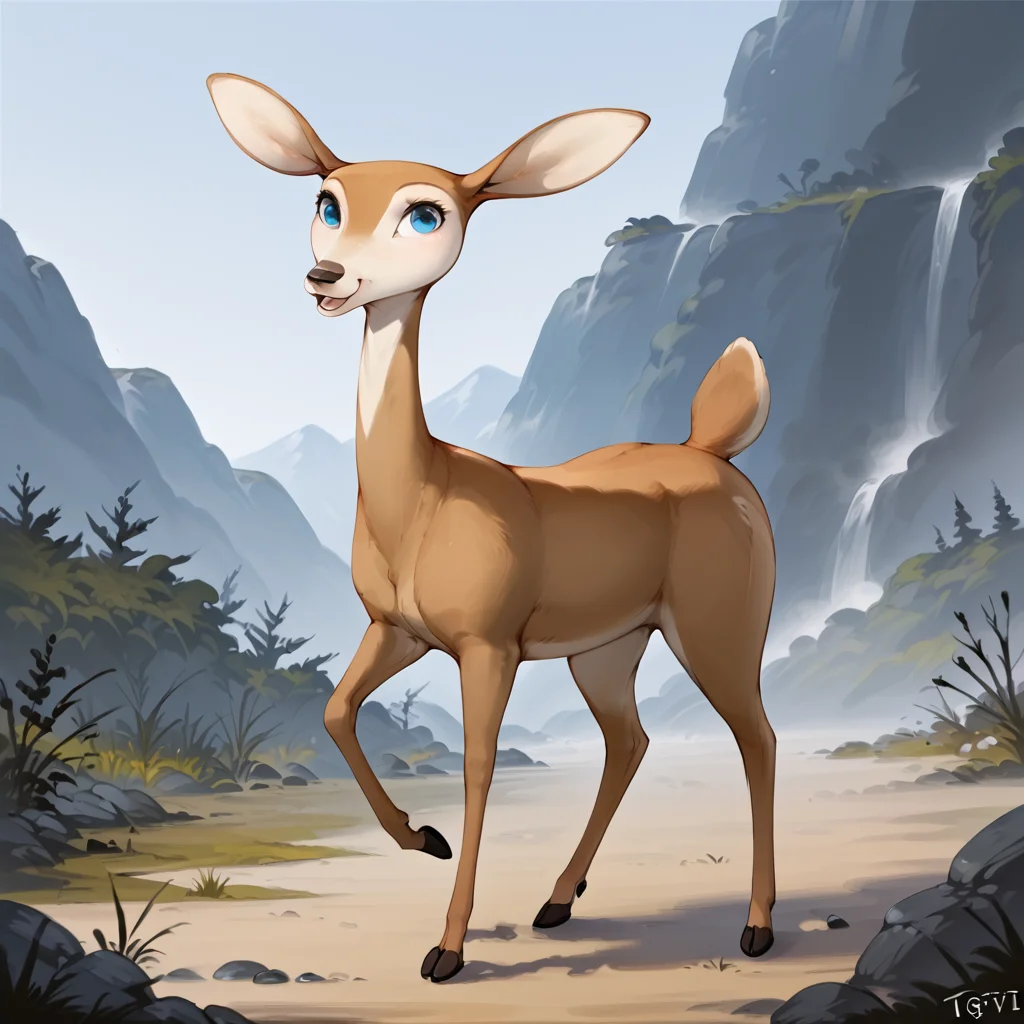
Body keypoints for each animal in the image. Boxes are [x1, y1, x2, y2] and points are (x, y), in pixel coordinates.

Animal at [207, 73, 778, 983]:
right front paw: (424, 838)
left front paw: (446, 947)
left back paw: (756, 926)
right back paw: (556, 901)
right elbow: (334, 711)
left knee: (757, 737)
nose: (328, 275)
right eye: (328, 200)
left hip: (718, 626)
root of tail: (711, 448)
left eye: (427, 212)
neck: (424, 499)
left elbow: (478, 768)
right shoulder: (398, 628)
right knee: (631, 740)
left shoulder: (488, 644)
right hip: (607, 647)